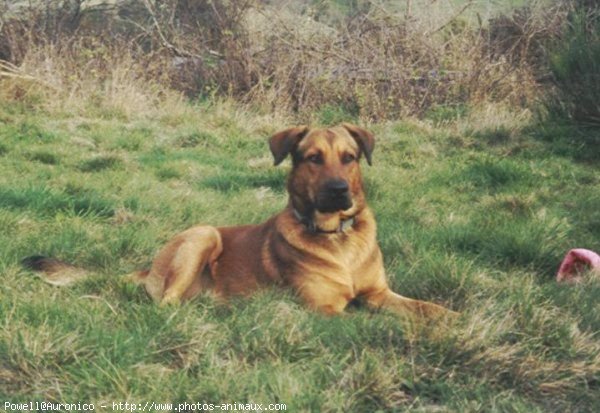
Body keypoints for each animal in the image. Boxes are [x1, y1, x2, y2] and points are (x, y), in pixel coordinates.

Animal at [22, 122, 454, 318]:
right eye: (313, 158)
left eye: (349, 158)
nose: (338, 190)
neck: (337, 238)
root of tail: (149, 267)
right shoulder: (326, 310)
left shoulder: (379, 294)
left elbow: (426, 309)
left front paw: (449, 320)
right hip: (203, 235)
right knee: (164, 304)